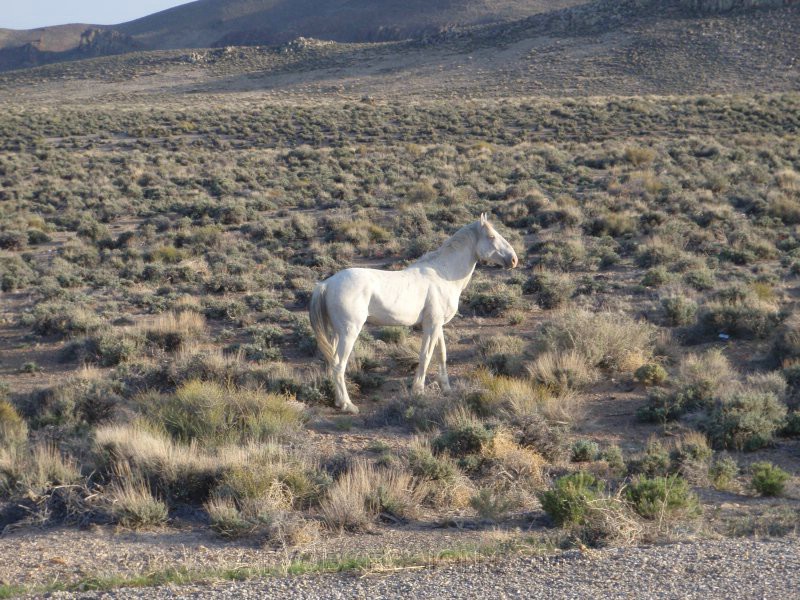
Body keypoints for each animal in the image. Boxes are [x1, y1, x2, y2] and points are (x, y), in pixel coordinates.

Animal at [309, 213, 519, 414]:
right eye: (491, 236)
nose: (514, 260)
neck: (444, 274)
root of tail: (326, 284)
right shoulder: (431, 325)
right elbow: (425, 355)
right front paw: (418, 391)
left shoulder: (437, 325)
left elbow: (441, 355)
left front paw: (446, 389)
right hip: (349, 333)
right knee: (339, 366)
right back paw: (348, 405)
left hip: (336, 334)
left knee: (332, 364)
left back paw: (338, 401)